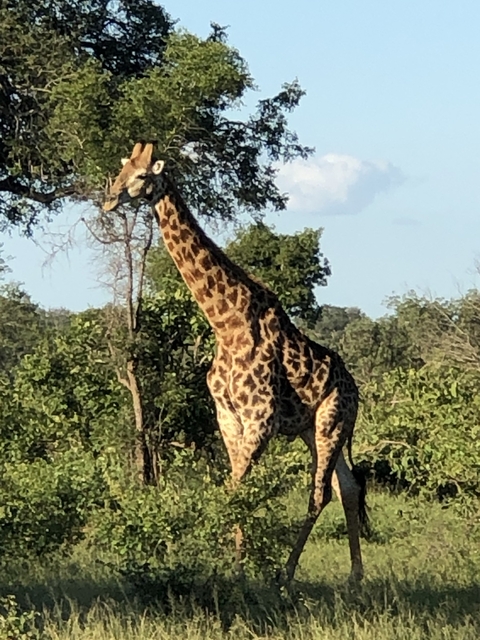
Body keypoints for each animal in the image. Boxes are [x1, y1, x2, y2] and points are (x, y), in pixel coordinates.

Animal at [103, 142, 367, 583]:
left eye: (141, 175)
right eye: (121, 169)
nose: (108, 199)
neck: (226, 324)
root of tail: (356, 390)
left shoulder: (260, 420)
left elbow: (236, 491)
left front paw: (237, 572)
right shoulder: (228, 418)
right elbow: (235, 490)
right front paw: (234, 566)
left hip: (331, 422)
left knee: (320, 494)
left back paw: (286, 573)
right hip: (311, 429)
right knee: (347, 488)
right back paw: (355, 577)